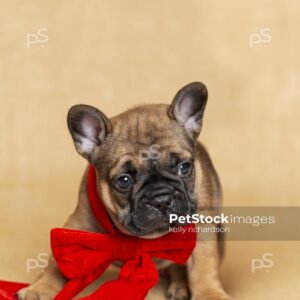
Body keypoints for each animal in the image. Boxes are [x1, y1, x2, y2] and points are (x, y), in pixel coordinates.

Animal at [17, 82, 231, 300]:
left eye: (184, 167)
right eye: (124, 181)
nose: (161, 198)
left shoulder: (203, 227)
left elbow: (203, 265)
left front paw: (209, 294)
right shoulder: (76, 228)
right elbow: (56, 263)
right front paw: (40, 288)